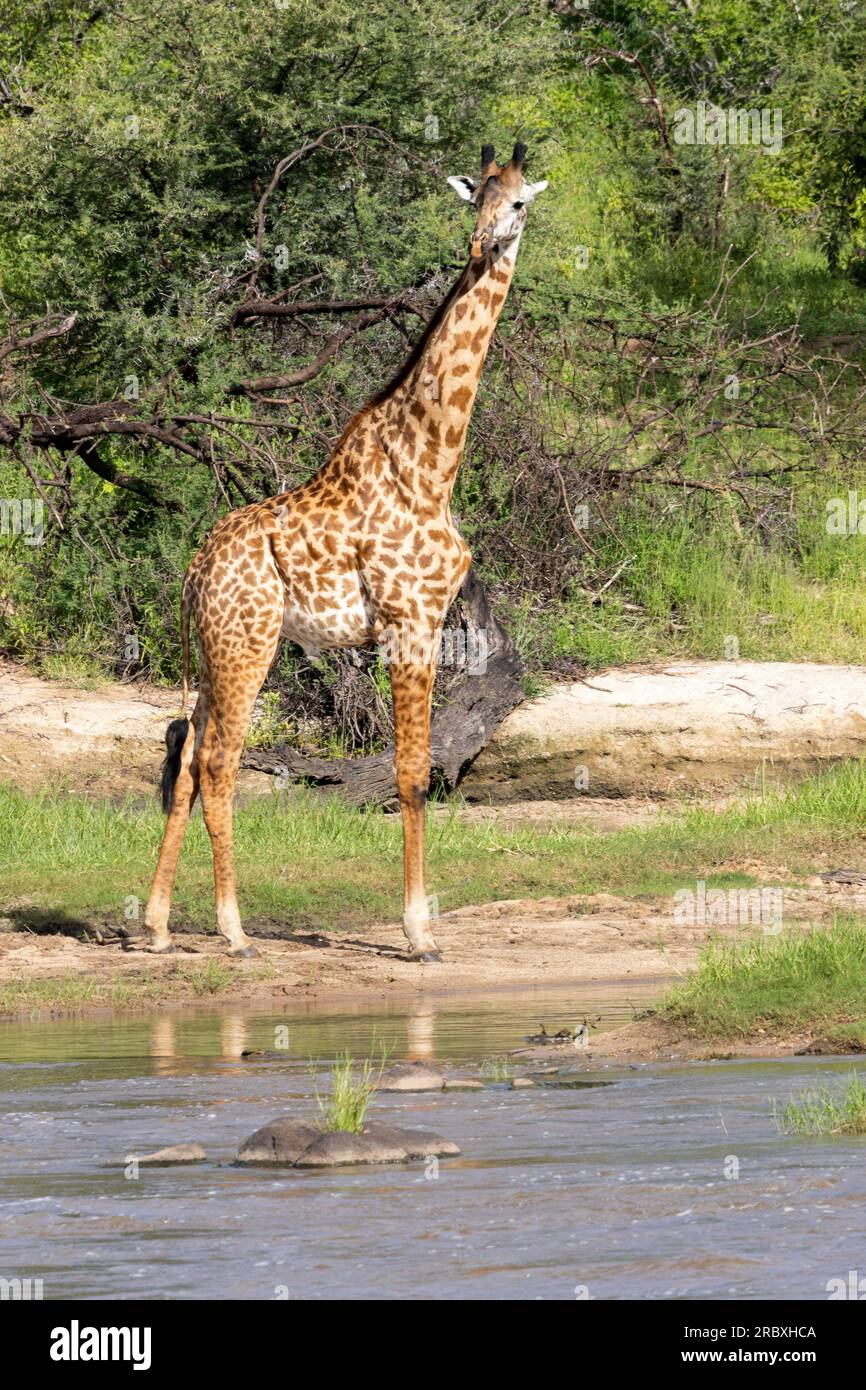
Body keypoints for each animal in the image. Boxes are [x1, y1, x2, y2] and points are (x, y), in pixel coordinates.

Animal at [142, 146, 547, 961]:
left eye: (518, 203)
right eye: (475, 201)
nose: (481, 245)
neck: (432, 464)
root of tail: (194, 571)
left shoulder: (426, 622)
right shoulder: (408, 620)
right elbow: (412, 773)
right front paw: (419, 932)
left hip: (215, 650)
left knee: (185, 755)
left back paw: (159, 924)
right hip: (249, 644)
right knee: (219, 762)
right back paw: (234, 931)